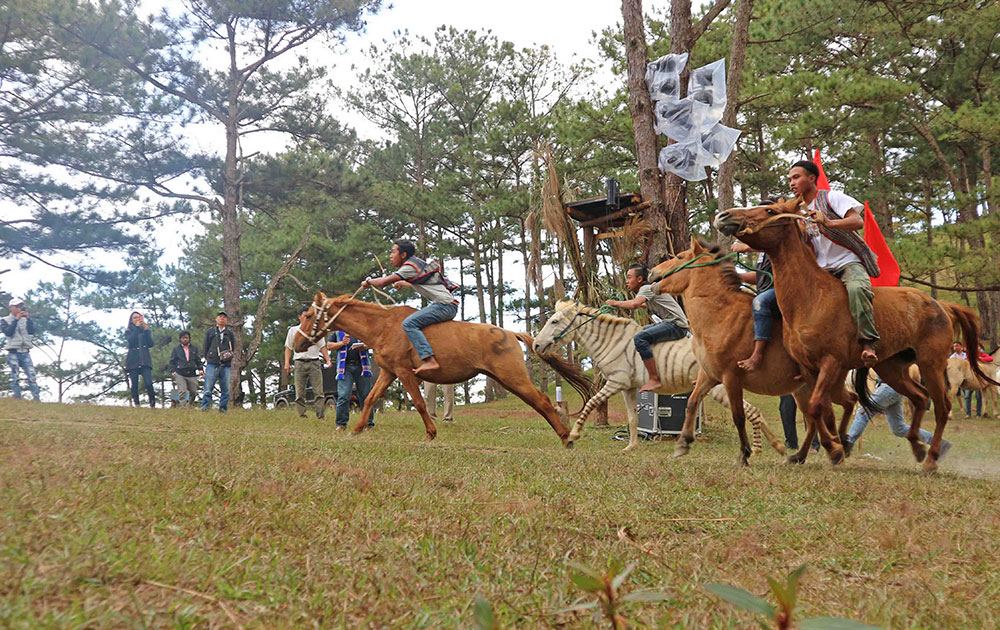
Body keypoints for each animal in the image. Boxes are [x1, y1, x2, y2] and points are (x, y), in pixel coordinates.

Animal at [292, 294, 592, 446]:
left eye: (309, 315)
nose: (296, 343)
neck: (384, 325)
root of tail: (510, 332)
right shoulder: (389, 372)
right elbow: (369, 399)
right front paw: (356, 429)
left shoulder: (405, 372)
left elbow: (420, 404)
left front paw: (430, 433)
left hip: (513, 377)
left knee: (542, 401)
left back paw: (566, 437)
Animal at [532, 298, 780, 456]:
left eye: (554, 321)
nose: (535, 345)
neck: (612, 341)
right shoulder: (627, 387)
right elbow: (633, 418)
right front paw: (631, 447)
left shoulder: (615, 382)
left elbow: (591, 403)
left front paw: (573, 435)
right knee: (756, 412)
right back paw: (776, 446)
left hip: (720, 390)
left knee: (752, 412)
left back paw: (761, 448)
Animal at [652, 239, 856, 466]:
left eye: (679, 257)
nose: (652, 273)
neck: (720, 315)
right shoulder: (708, 375)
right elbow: (692, 402)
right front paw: (683, 443)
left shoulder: (731, 378)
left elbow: (739, 417)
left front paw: (744, 453)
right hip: (803, 389)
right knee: (816, 418)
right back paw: (802, 455)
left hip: (826, 384)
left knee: (845, 403)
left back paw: (839, 446)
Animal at [716, 200, 996, 472]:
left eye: (770, 210)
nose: (724, 216)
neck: (811, 297)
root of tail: (942, 306)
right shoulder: (808, 368)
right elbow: (819, 410)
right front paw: (835, 446)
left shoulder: (831, 362)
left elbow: (817, 406)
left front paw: (835, 448)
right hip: (891, 368)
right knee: (919, 398)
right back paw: (916, 447)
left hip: (931, 364)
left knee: (941, 408)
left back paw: (930, 459)